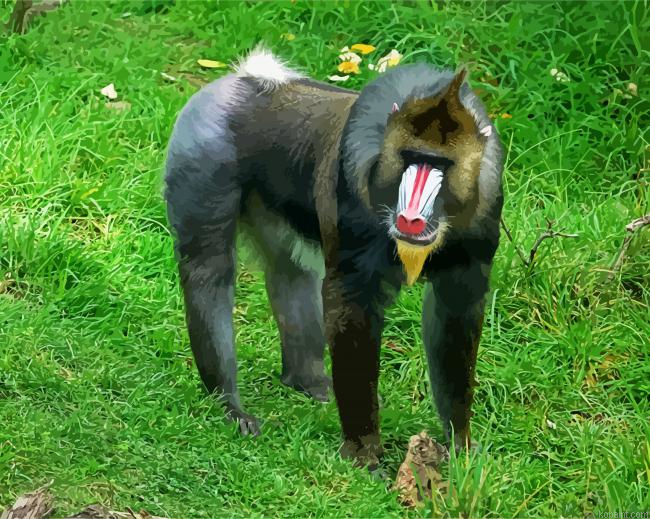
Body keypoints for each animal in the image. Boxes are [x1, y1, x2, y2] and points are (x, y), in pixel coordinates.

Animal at [164, 46, 504, 468]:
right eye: (410, 156)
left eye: (441, 164)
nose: (409, 217)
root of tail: (242, 82)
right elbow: (350, 307)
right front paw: (364, 453)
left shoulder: (475, 239)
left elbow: (454, 322)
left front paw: (461, 450)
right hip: (204, 161)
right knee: (208, 273)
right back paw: (229, 405)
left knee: (290, 272)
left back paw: (308, 382)